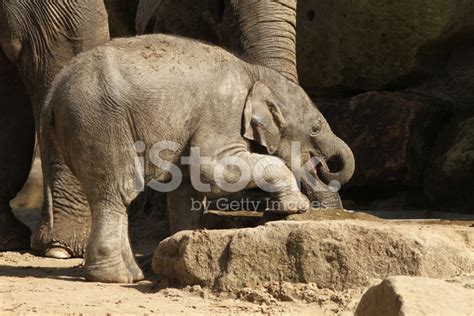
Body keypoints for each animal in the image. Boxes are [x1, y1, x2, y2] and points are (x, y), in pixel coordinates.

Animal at [40, 34, 354, 284]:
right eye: (316, 128)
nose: (326, 167)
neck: (254, 72)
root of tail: (54, 88)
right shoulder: (222, 112)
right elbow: (211, 171)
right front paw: (294, 207)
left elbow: (187, 186)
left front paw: (181, 248)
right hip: (100, 121)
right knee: (119, 190)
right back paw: (116, 278)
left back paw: (135, 274)